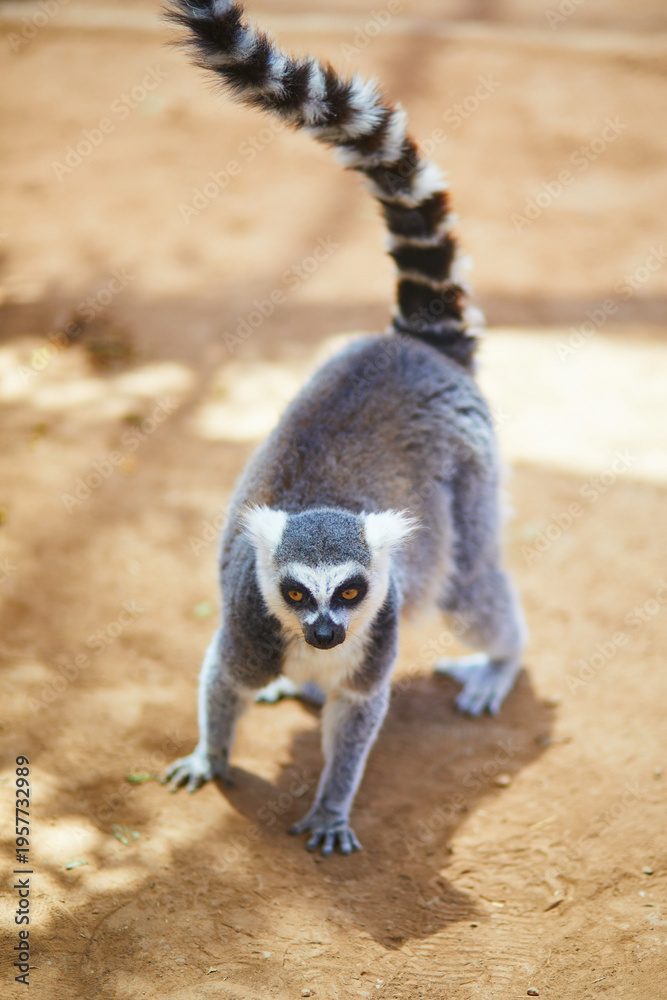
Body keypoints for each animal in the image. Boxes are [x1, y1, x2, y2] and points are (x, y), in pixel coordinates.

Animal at [163, 0, 526, 856]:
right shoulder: (247, 622)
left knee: (468, 585)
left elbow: (359, 716)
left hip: (471, 480)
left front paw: (330, 810)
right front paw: (210, 755)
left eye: (351, 590)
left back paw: (498, 662)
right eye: (296, 594)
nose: (326, 633)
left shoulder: (375, 634)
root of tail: (411, 345)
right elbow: (223, 681)